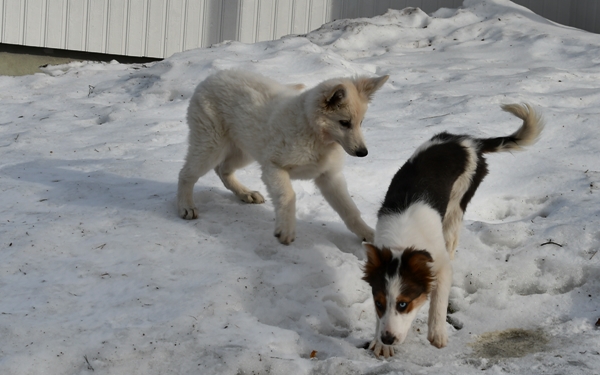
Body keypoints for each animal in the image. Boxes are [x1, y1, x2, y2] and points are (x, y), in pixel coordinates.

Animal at [177, 69, 390, 245]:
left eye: (361, 123)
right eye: (344, 123)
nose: (363, 153)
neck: (314, 132)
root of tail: (212, 76)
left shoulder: (329, 177)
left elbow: (350, 210)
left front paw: (369, 234)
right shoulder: (273, 167)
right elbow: (288, 195)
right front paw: (286, 230)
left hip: (245, 150)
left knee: (223, 169)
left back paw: (246, 193)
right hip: (211, 146)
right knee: (186, 174)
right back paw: (186, 206)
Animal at [360, 103, 544, 358]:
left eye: (403, 304)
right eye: (378, 303)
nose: (387, 338)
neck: (402, 243)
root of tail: (467, 141)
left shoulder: (441, 265)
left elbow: (438, 300)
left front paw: (437, 334)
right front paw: (379, 342)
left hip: (457, 206)